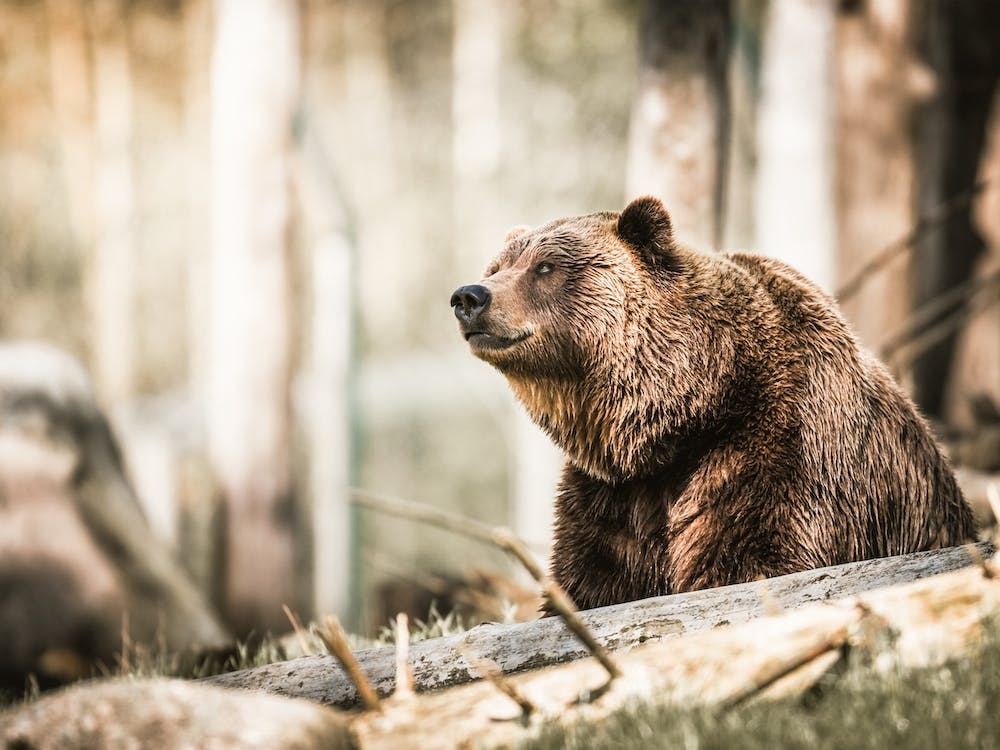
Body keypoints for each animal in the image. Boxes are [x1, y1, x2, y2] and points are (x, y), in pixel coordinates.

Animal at [450, 196, 976, 611]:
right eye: (497, 267)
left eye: (546, 267)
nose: (469, 296)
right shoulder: (612, 495)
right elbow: (592, 580)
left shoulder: (781, 450)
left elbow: (753, 557)